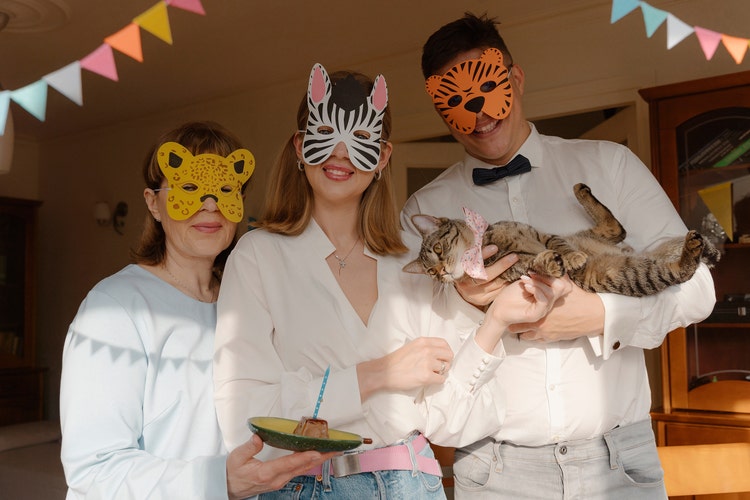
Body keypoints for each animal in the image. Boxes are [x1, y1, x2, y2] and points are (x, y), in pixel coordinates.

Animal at [406, 184, 724, 296]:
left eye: (438, 249)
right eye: (431, 274)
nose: (443, 273)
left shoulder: (543, 234)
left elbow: (559, 245)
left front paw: (570, 257)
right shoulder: (514, 270)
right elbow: (532, 263)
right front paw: (551, 263)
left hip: (601, 242)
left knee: (616, 227)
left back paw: (581, 190)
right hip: (631, 274)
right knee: (680, 271)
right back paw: (695, 246)